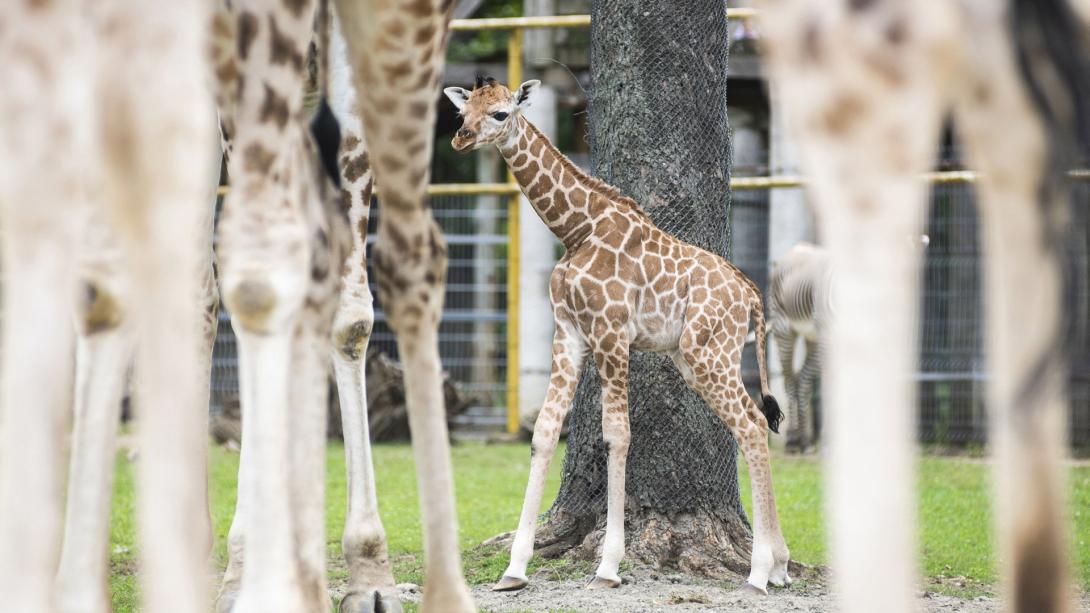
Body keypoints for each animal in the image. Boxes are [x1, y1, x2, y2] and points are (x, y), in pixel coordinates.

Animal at [446, 77, 789, 593]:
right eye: (464, 111)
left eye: (501, 113)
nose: (460, 139)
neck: (575, 230)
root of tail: (751, 295)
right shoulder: (569, 333)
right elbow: (545, 431)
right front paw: (514, 568)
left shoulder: (610, 333)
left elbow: (617, 434)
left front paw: (608, 566)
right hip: (697, 357)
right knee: (752, 421)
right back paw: (782, 565)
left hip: (709, 352)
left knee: (749, 424)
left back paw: (760, 572)